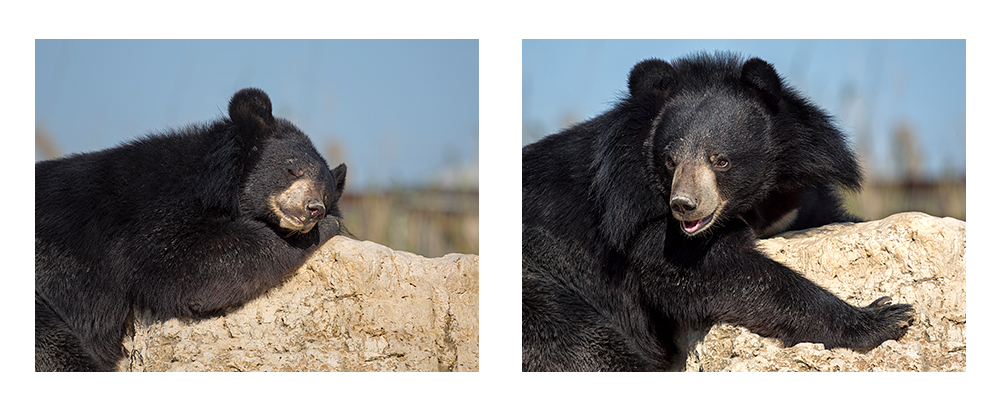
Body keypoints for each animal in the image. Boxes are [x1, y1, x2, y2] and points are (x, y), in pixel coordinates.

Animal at [36, 88, 348, 372]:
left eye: (326, 191)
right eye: (292, 170)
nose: (315, 209)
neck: (212, 182)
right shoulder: (149, 212)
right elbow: (193, 265)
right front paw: (325, 227)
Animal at [520, 51, 916, 370]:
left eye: (721, 160)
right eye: (670, 160)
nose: (683, 205)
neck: (751, 201)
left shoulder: (795, 191)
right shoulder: (631, 216)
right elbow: (713, 272)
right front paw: (885, 317)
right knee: (581, 347)